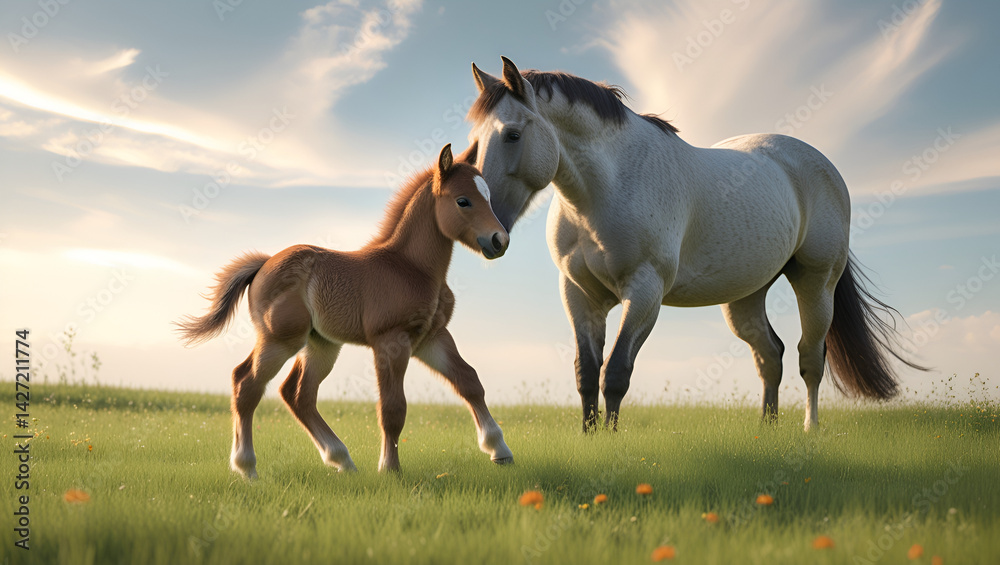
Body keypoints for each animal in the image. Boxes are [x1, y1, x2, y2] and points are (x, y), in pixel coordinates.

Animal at [176, 144, 514, 477]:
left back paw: (342, 460)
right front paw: (390, 470)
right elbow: (393, 408)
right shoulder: (391, 342)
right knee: (247, 383)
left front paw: (499, 450)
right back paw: (247, 468)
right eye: (462, 201)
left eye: (488, 197)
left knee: (298, 394)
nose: (500, 240)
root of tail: (264, 263)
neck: (410, 268)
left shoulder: (432, 338)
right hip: (279, 339)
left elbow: (469, 382)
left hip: (322, 344)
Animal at [465, 57, 923, 432]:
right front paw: (589, 437)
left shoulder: (645, 293)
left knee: (809, 358)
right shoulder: (579, 294)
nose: (489, 233)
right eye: (475, 140)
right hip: (745, 298)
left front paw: (609, 440)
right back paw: (767, 430)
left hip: (816, 283)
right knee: (769, 356)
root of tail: (825, 168)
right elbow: (586, 373)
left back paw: (809, 431)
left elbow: (616, 372)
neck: (604, 189)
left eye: (511, 135)